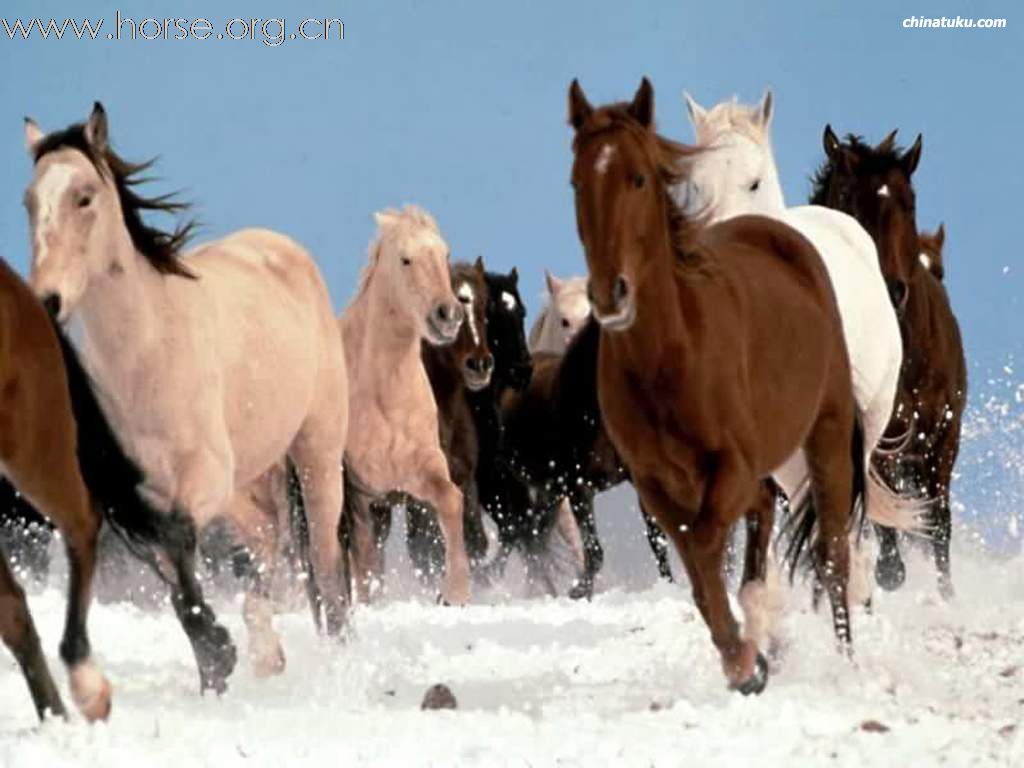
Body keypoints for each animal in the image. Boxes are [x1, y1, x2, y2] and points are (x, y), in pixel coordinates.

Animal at [24, 102, 350, 692]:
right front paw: (215, 667)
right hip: (247, 484)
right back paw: (267, 657)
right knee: (267, 545)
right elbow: (174, 581)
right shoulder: (140, 496)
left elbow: (179, 546)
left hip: (316, 455)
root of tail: (281, 247)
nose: (46, 301)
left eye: (84, 196)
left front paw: (217, 652)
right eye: (29, 202)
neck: (149, 357)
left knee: (325, 564)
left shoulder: (202, 481)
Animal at [569, 79, 864, 696]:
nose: (610, 294)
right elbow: (700, 567)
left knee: (833, 553)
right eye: (577, 181)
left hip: (826, 438)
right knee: (765, 518)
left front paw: (747, 658)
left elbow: (707, 549)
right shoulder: (657, 484)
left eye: (639, 177)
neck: (673, 354)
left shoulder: (730, 466)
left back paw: (845, 662)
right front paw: (748, 659)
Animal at [811, 131, 962, 602]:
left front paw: (947, 596)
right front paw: (889, 573)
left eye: (908, 202)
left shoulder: (942, 434)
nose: (891, 289)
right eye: (847, 198)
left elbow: (938, 522)